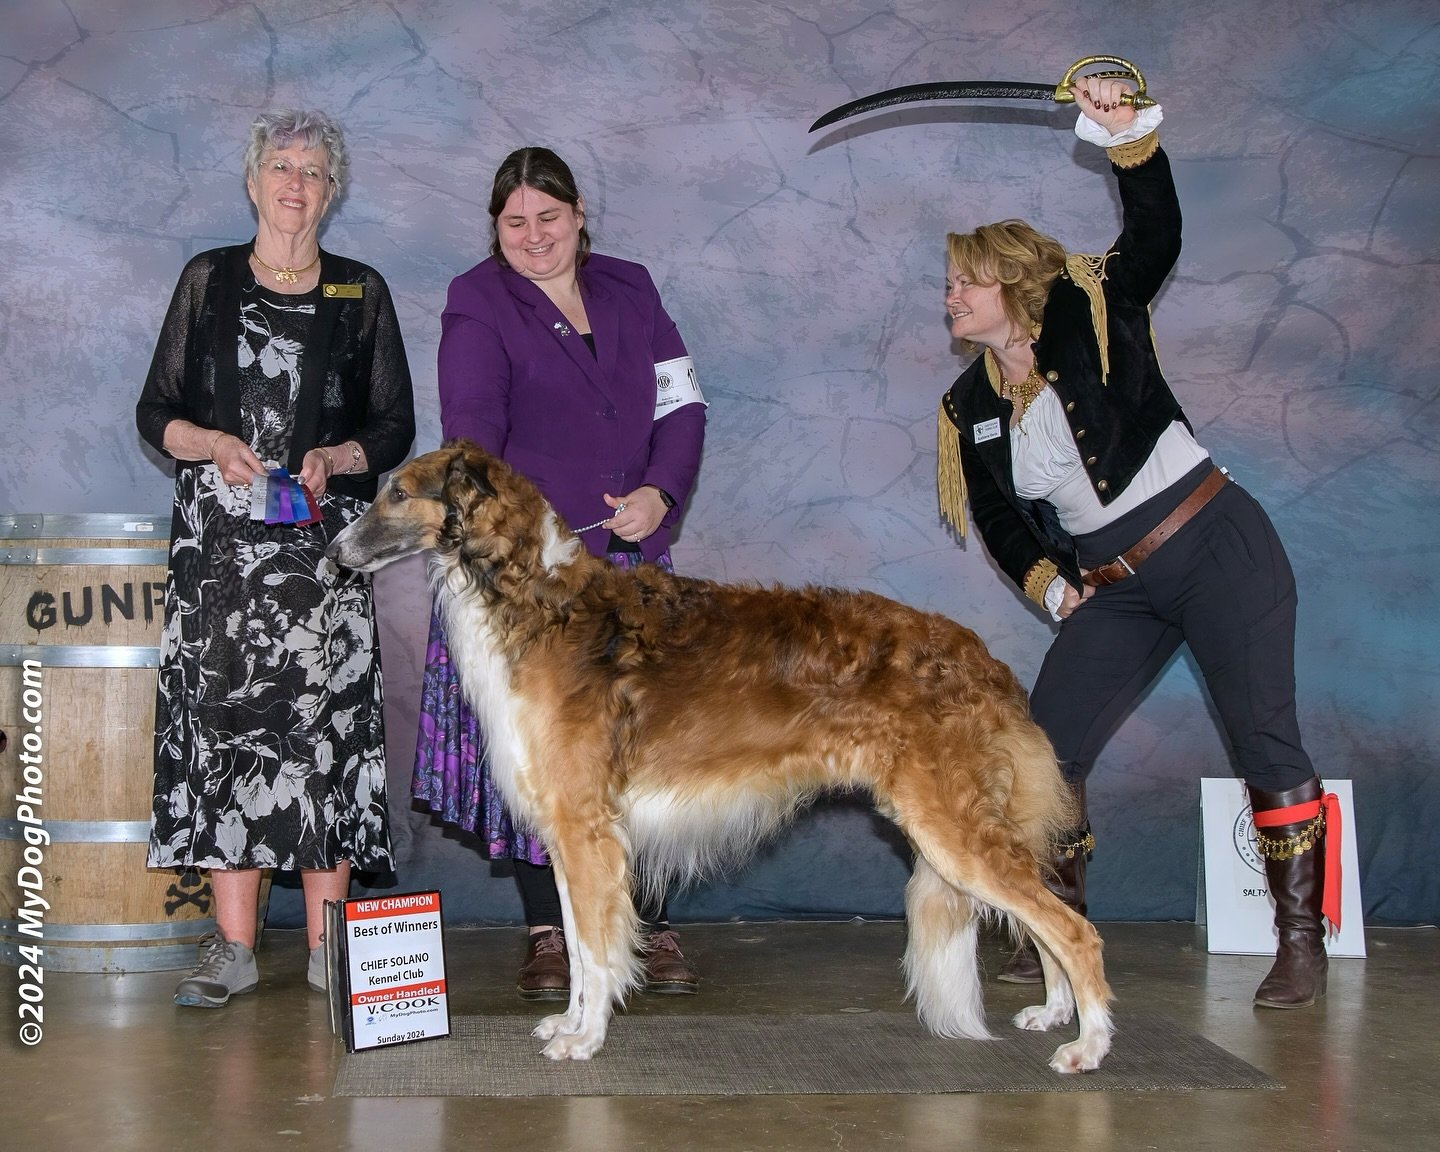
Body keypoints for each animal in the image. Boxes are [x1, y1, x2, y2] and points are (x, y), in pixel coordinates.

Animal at [326, 437, 1111, 1071]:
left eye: (398, 492)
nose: (333, 552)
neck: (538, 599)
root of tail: (981, 657)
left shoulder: (585, 830)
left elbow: (597, 952)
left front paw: (585, 1039)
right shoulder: (574, 835)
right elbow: (578, 948)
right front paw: (569, 1025)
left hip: (952, 830)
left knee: (1077, 930)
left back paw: (1088, 1045)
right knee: (1049, 923)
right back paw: (1055, 1014)